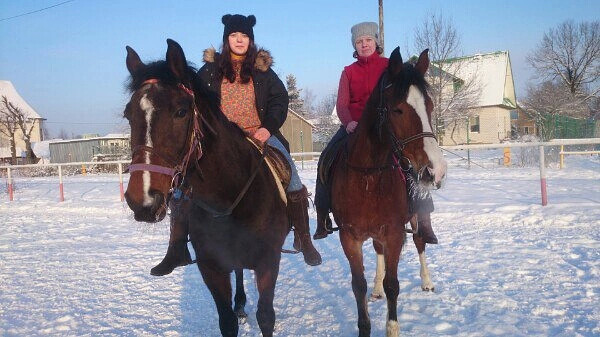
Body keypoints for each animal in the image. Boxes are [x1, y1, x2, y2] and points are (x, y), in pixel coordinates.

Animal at [122, 39, 288, 336]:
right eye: (128, 114)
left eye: (180, 111)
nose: (141, 199)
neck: (229, 200)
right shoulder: (212, 268)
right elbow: (227, 322)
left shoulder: (268, 262)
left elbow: (266, 317)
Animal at [328, 48, 446, 336]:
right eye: (398, 109)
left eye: (430, 106)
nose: (435, 171)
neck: (369, 175)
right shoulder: (349, 237)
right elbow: (357, 285)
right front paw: (364, 325)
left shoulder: (393, 233)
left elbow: (394, 284)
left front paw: (392, 328)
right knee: (378, 252)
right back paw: (376, 288)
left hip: (413, 220)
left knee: (420, 242)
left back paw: (426, 281)